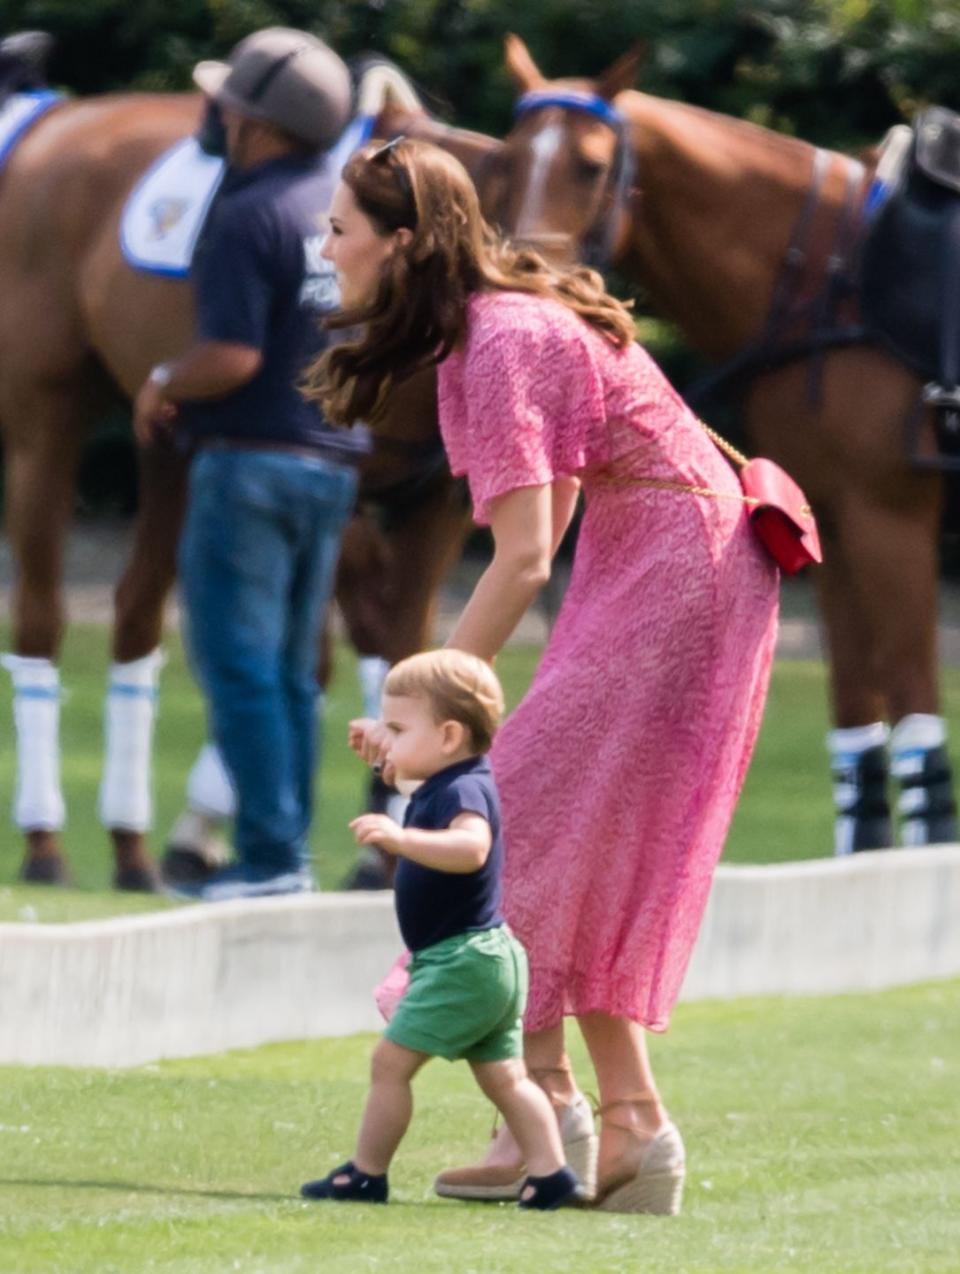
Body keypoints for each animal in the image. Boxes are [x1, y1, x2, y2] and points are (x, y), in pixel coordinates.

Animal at [0, 59, 494, 891]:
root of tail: (53, 118)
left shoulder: (435, 502)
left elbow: (397, 646)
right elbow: (345, 652)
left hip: (146, 448)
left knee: (130, 615)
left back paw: (123, 846)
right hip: (47, 414)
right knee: (48, 615)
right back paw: (58, 842)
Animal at [481, 34, 952, 856]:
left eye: (591, 166)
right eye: (508, 160)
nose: (531, 276)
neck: (833, 281)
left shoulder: (890, 520)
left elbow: (919, 732)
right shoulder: (837, 523)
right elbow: (860, 744)